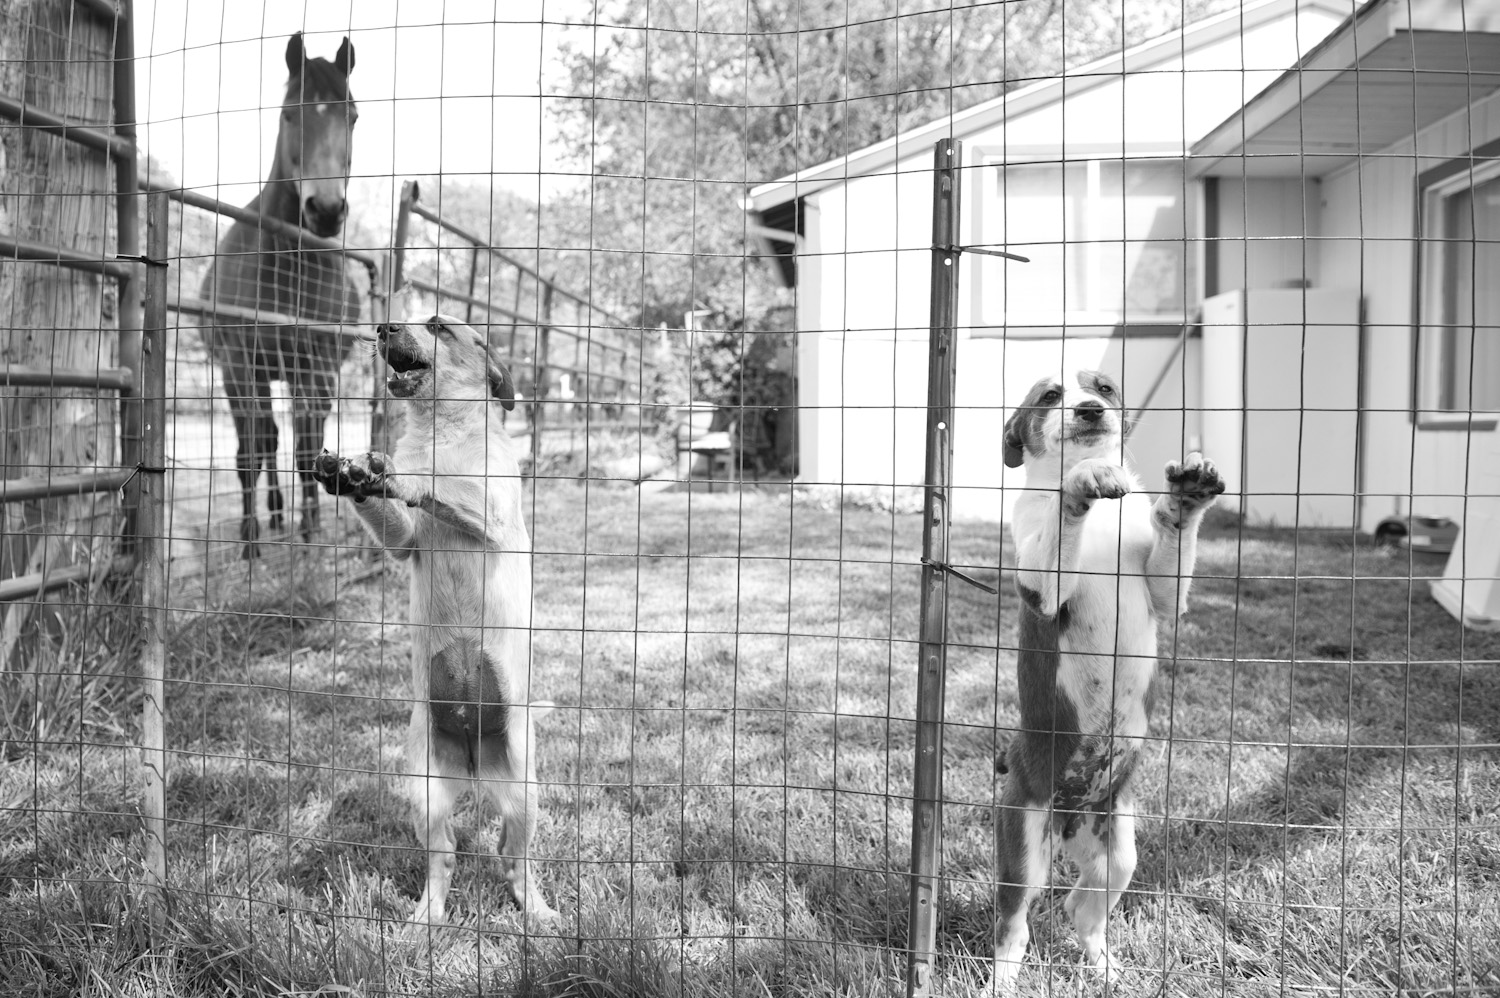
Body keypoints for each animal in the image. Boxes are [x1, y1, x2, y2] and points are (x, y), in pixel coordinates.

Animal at [201, 31, 361, 555]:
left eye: (353, 116)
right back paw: (267, 518)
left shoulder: (318, 366)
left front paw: (310, 532)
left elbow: (309, 449)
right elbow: (252, 452)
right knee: (264, 441)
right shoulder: (239, 366)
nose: (325, 209)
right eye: (289, 113)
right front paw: (250, 540)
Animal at [315, 313, 558, 924]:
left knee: (513, 858)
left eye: (438, 326)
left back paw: (538, 914)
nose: (383, 327)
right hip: (424, 795)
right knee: (445, 857)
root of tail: (473, 758)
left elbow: (438, 482)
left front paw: (397, 474)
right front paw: (349, 474)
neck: (439, 432)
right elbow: (396, 514)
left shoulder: (490, 508)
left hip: (525, 790)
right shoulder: (403, 542)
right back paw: (426, 919)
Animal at [996, 369, 1218, 984]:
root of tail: (1071, 815)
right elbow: (1059, 523)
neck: (1103, 524)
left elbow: (1172, 542)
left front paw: (1184, 498)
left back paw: (1102, 965)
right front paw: (1082, 481)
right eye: (1050, 396)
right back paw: (1001, 976)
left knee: (1082, 906)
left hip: (1117, 848)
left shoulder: (1165, 593)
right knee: (1015, 922)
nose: (1091, 410)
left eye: (1105, 388)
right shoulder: (1043, 587)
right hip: (1023, 843)